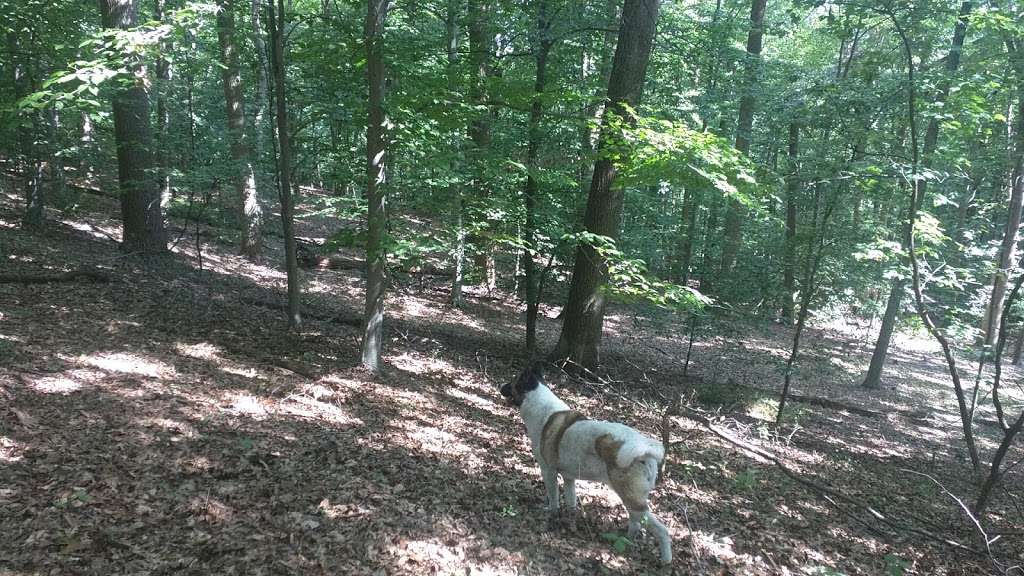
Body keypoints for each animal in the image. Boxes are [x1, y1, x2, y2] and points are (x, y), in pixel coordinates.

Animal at [501, 362, 671, 561]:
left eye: (513, 381)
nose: (500, 386)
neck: (538, 404)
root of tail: (646, 452)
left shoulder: (548, 471)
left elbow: (553, 499)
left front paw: (551, 514)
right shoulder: (569, 479)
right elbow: (571, 501)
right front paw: (570, 520)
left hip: (633, 500)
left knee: (662, 531)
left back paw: (665, 560)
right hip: (631, 499)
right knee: (636, 524)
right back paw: (625, 541)